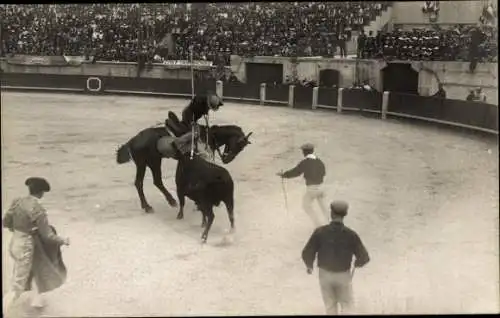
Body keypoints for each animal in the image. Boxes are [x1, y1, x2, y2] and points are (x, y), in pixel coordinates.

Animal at [115, 123, 252, 212]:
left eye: (242, 148)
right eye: (239, 145)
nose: (228, 160)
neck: (208, 136)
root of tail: (131, 141)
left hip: (145, 164)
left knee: (146, 182)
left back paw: (159, 203)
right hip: (152, 162)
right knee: (148, 182)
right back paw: (152, 205)